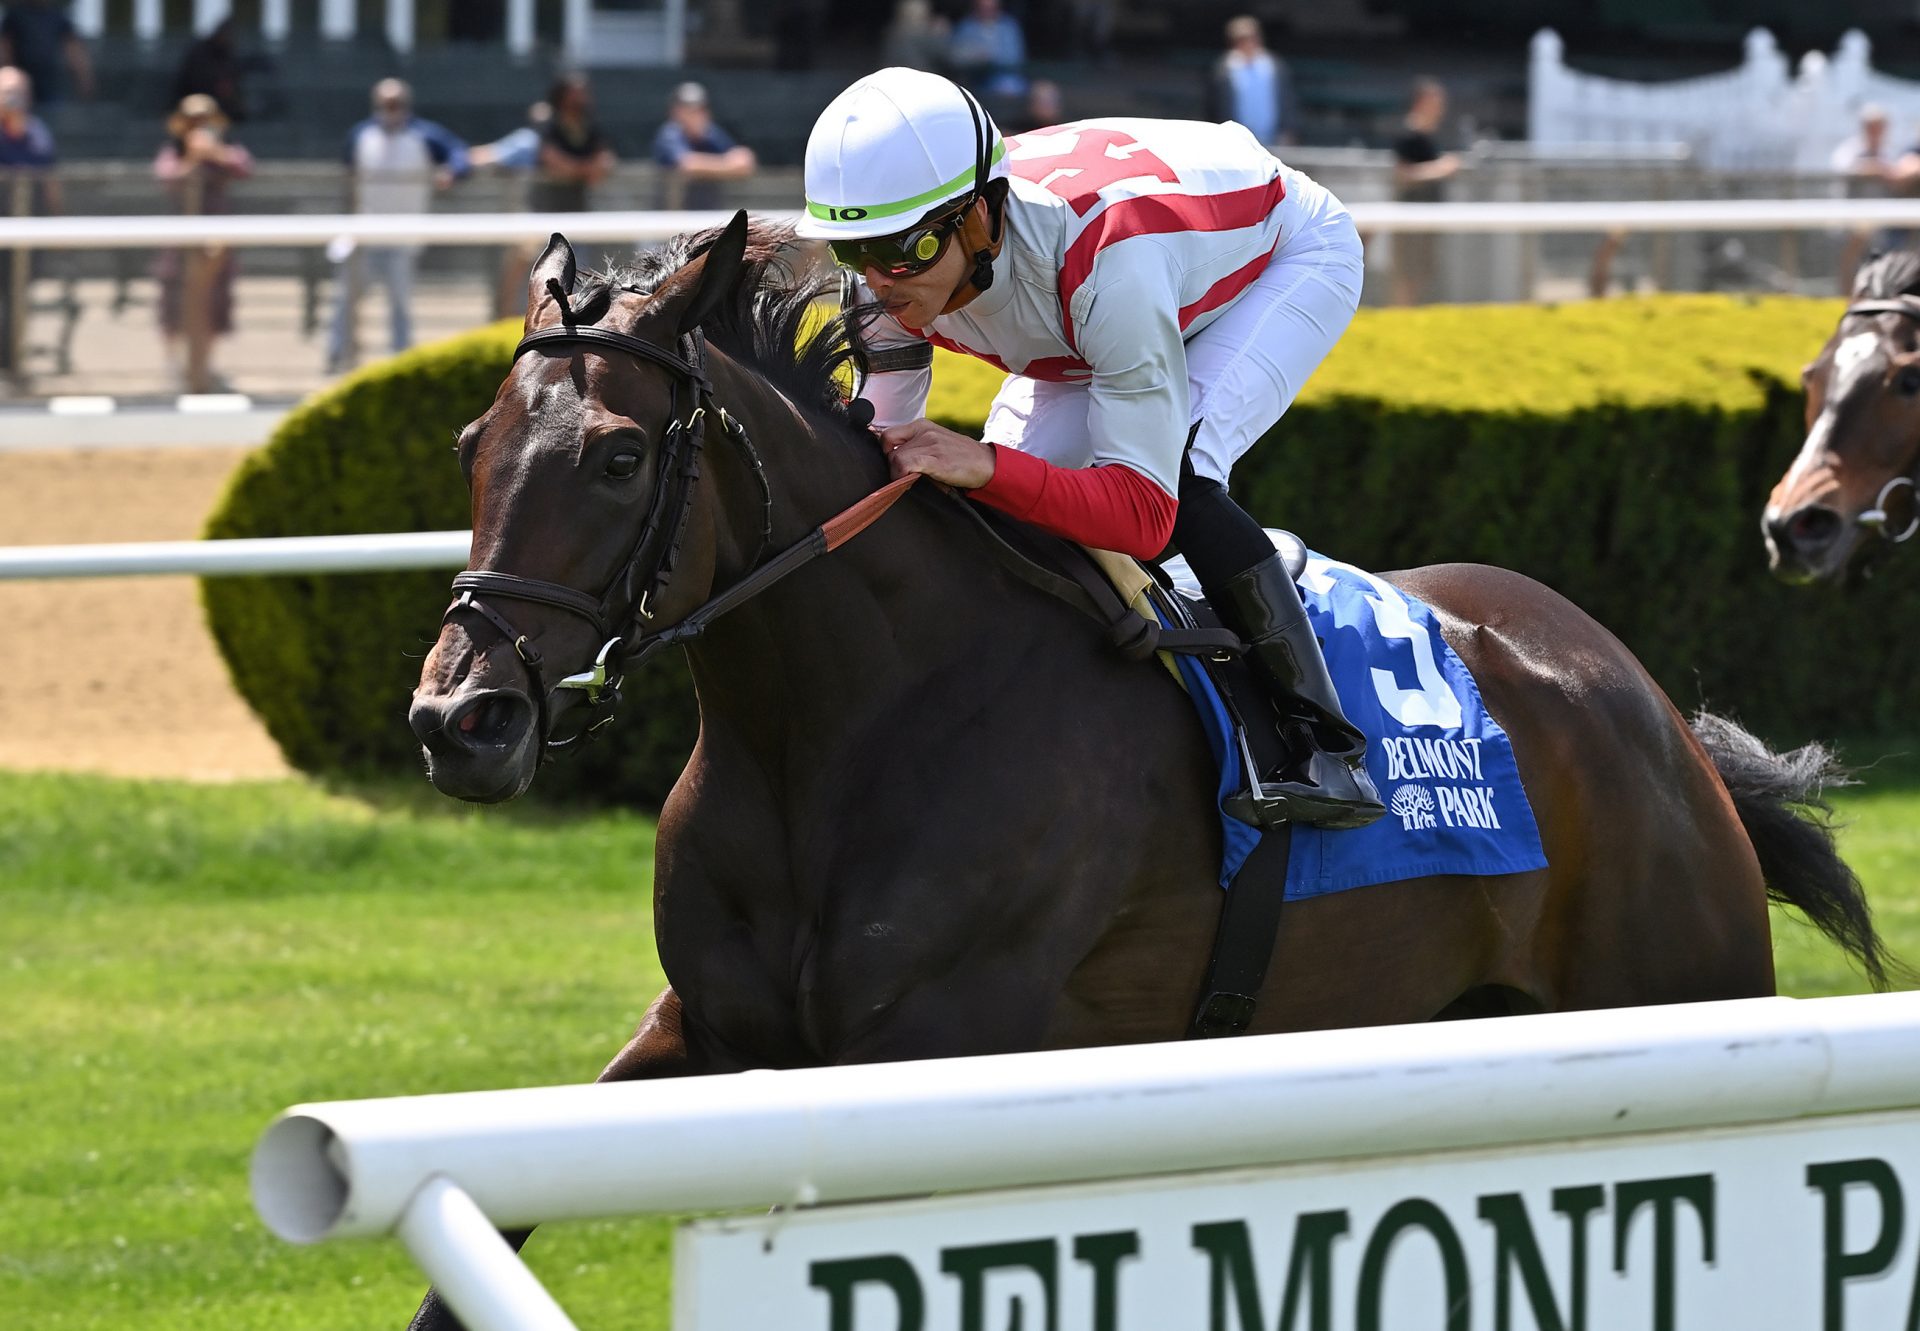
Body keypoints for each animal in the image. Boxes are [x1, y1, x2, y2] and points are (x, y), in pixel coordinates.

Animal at [408, 215, 1889, 1329]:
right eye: (473, 444)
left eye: (616, 453)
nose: (460, 717)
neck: (831, 732)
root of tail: (1652, 714)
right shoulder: (710, 1035)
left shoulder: (934, 1050)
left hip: (1680, 992)